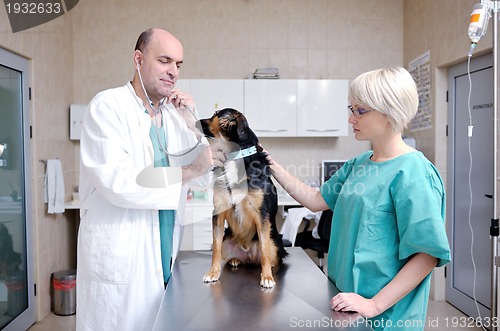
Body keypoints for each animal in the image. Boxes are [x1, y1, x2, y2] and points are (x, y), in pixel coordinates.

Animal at [198, 108, 286, 288]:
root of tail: (248, 254)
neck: (233, 156)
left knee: (271, 255)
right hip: (228, 239)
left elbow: (265, 251)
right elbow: (215, 248)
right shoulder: (218, 212)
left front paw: (267, 277)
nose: (196, 120)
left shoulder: (262, 214)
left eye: (216, 114)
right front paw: (213, 273)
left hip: (275, 240)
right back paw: (235, 260)